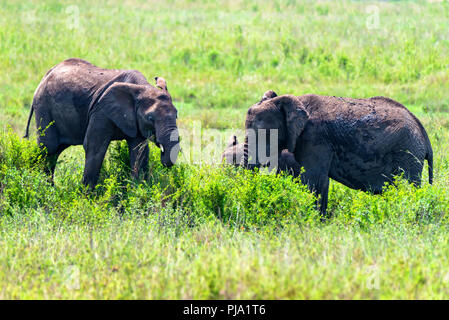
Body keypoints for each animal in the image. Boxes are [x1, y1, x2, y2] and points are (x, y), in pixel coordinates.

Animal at [243, 90, 432, 218]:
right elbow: (320, 181)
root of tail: (423, 132)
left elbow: (313, 180)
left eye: (263, 133)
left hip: (407, 153)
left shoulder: (315, 138)